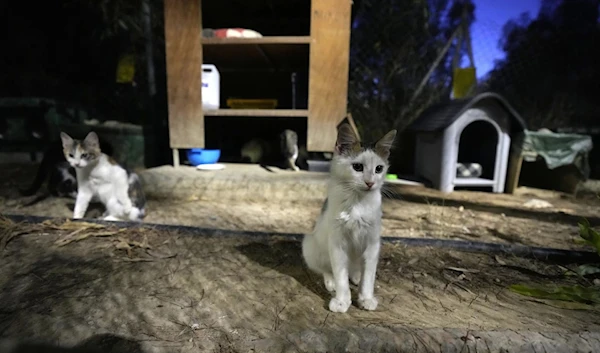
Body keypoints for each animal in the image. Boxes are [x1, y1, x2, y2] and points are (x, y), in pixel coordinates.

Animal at [302, 122, 396, 312]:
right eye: (358, 167)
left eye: (379, 169)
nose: (370, 183)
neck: (357, 202)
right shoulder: (337, 243)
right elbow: (341, 277)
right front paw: (342, 301)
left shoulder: (372, 243)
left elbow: (369, 277)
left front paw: (366, 298)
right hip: (310, 245)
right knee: (324, 269)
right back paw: (330, 281)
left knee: (357, 270)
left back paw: (356, 276)